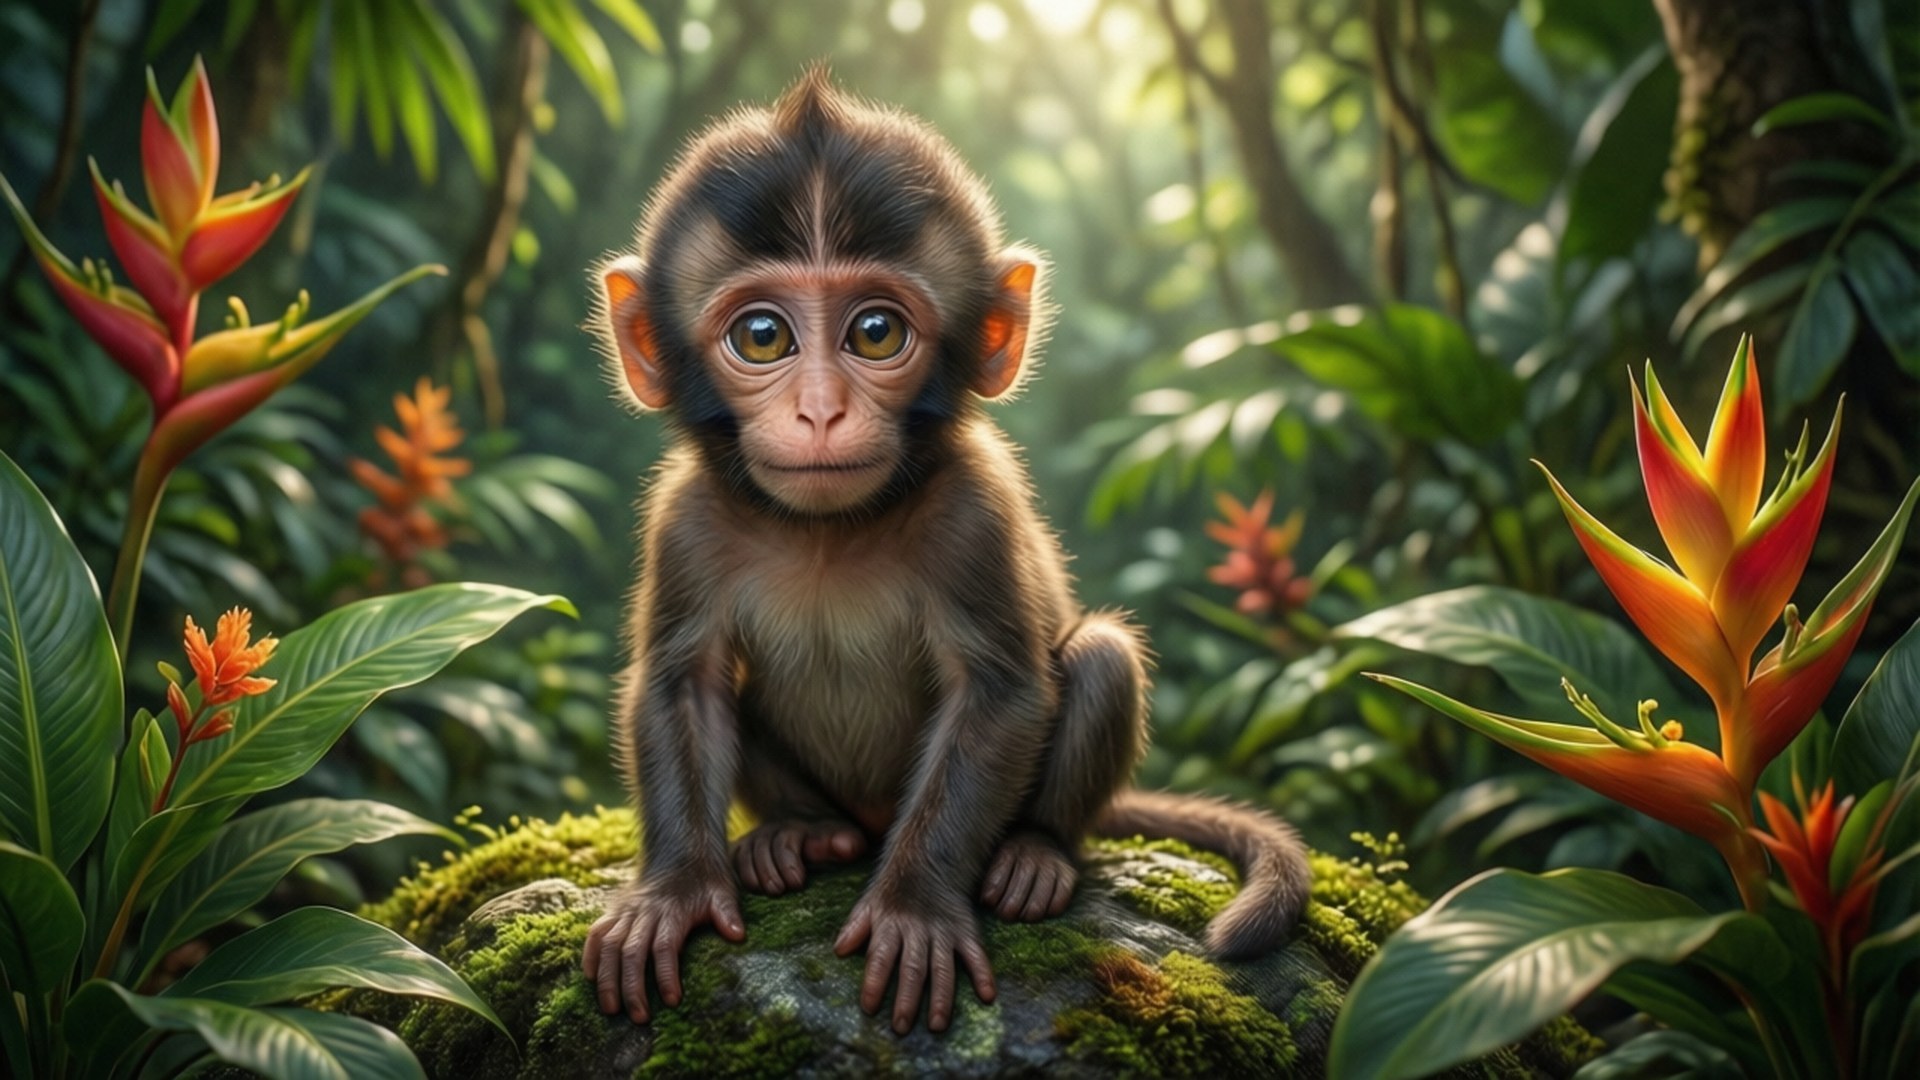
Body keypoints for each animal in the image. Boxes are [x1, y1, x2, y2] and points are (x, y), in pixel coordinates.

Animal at [581, 70, 1313, 1037]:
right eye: (763, 336)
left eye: (877, 332)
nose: (821, 411)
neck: (828, 532)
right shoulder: (686, 520)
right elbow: (684, 683)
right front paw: (670, 894)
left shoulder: (976, 512)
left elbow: (999, 693)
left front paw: (914, 911)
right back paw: (802, 831)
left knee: (1101, 658)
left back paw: (1037, 852)